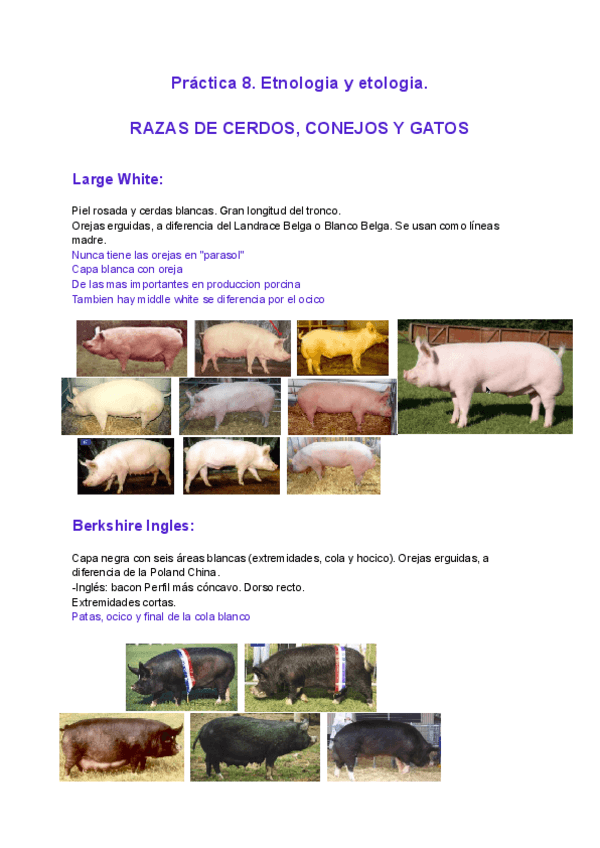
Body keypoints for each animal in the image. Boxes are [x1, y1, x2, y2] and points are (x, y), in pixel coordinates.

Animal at [403, 338, 566, 428]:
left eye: (423, 364)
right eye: (418, 362)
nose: (405, 373)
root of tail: (557, 356)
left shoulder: (466, 386)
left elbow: (464, 406)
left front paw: (460, 427)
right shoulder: (453, 388)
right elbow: (455, 405)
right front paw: (451, 422)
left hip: (546, 387)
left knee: (549, 406)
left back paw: (546, 426)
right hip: (533, 388)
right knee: (536, 403)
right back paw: (532, 421)